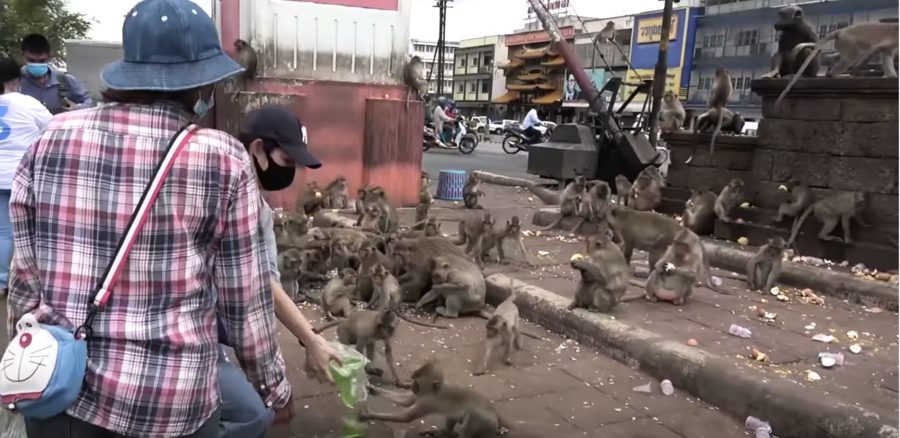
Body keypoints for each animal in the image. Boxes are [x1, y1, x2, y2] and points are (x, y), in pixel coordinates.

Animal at [772, 22, 900, 107]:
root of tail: (841, 31)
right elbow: (874, 51)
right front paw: (857, 69)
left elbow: (886, 55)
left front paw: (892, 75)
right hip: (848, 42)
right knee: (848, 59)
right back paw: (834, 74)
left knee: (839, 56)